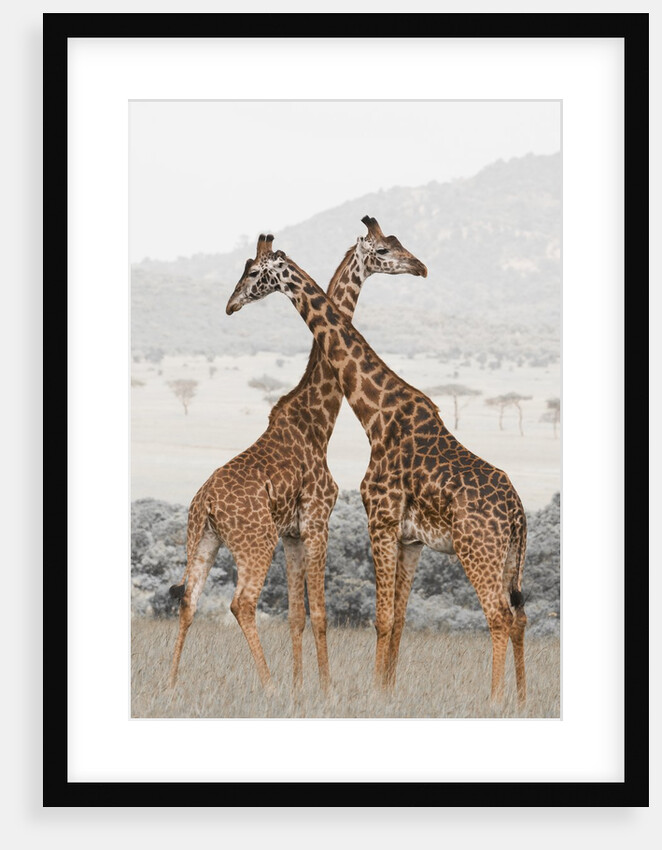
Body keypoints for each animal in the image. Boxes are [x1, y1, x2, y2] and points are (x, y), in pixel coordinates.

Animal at [167, 218, 427, 691]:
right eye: (383, 250)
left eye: (252, 271)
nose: (419, 266)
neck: (318, 420)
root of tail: (207, 503)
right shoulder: (317, 518)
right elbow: (320, 613)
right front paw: (324, 690)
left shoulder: (291, 532)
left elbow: (295, 616)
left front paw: (300, 688)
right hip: (256, 540)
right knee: (241, 603)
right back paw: (267, 686)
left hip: (202, 539)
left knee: (189, 599)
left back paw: (172, 683)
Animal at [226, 240, 528, 706]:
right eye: (389, 247)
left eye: (255, 272)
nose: (231, 303)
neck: (377, 415)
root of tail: (518, 515)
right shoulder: (409, 538)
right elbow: (397, 619)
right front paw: (386, 691)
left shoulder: (380, 520)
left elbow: (381, 619)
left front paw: (372, 693)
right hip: (510, 557)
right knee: (519, 616)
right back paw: (522, 699)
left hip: (478, 550)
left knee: (498, 616)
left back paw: (495, 702)